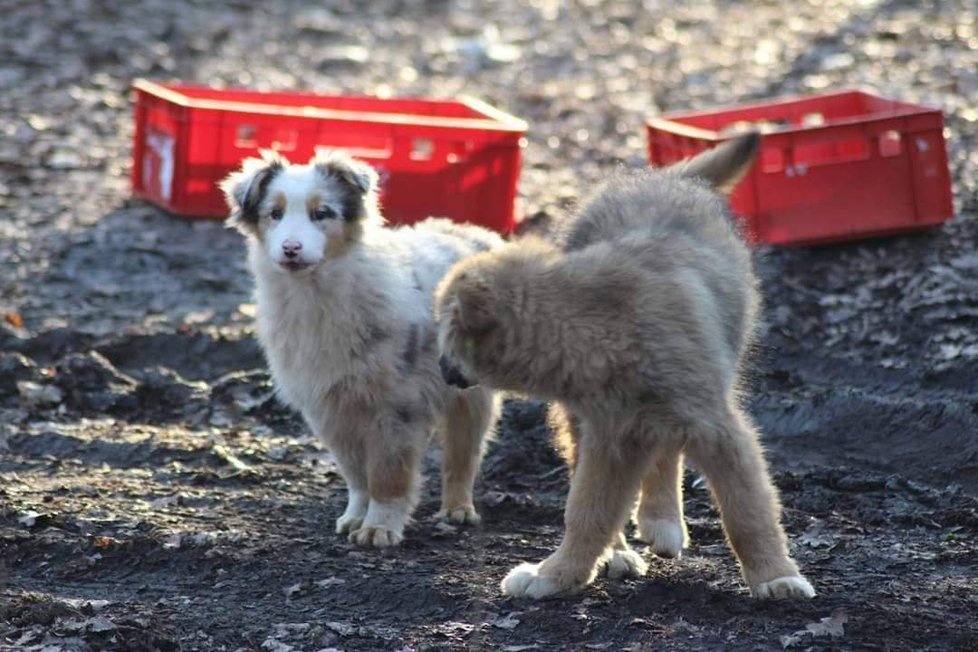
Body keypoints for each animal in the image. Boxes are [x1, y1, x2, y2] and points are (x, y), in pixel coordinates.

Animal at [222, 150, 504, 548]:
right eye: (274, 213)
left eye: (322, 213)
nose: (291, 248)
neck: (314, 295)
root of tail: (476, 232)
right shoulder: (331, 407)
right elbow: (356, 474)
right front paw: (356, 517)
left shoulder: (396, 405)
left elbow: (388, 474)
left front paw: (379, 528)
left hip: (472, 394)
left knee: (464, 453)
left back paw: (458, 509)